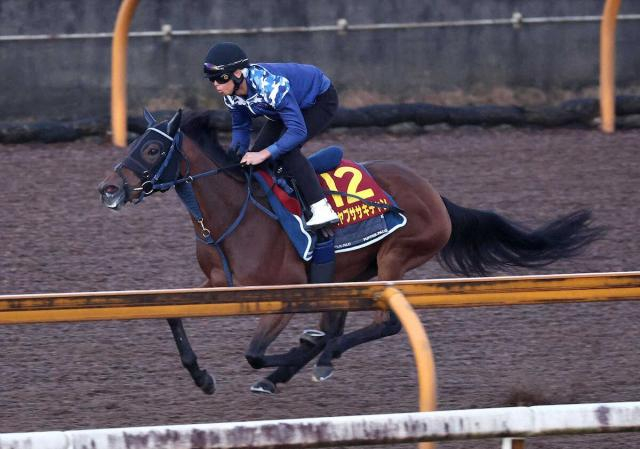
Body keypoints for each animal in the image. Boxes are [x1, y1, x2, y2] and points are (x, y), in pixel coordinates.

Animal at [98, 109, 603, 395]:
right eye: (137, 142)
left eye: (152, 149)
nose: (108, 189)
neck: (232, 218)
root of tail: (435, 195)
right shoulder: (218, 283)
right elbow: (173, 314)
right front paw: (201, 377)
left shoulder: (287, 294)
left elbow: (256, 353)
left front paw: (290, 356)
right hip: (351, 268)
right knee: (341, 321)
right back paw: (309, 360)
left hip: (396, 257)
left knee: (384, 324)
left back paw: (313, 358)